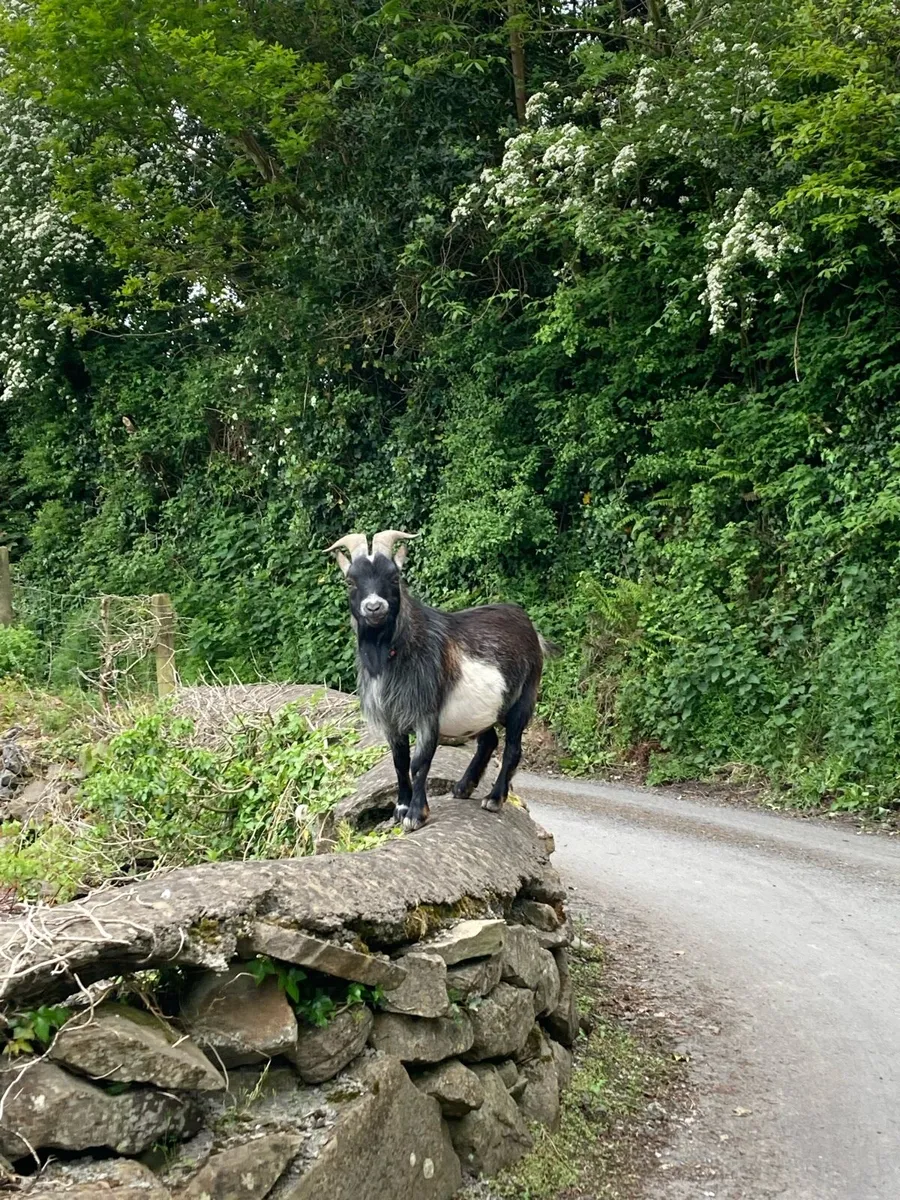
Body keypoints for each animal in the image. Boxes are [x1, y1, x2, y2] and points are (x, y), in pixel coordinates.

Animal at [327, 529, 560, 831]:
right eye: (350, 581)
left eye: (394, 577)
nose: (374, 607)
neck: (394, 651)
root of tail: (531, 628)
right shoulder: (392, 719)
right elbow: (399, 761)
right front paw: (400, 808)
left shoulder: (426, 714)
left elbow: (419, 762)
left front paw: (416, 814)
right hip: (482, 710)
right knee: (489, 741)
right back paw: (463, 787)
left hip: (524, 697)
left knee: (512, 748)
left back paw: (494, 798)